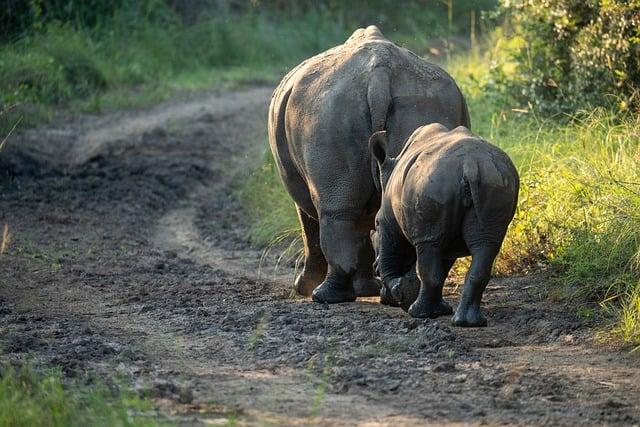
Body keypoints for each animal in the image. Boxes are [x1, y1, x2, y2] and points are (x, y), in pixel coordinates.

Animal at [268, 26, 470, 304]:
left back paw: (324, 296)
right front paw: (368, 289)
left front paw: (304, 288)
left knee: (336, 213)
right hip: (425, 101)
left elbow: (311, 227)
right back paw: (401, 295)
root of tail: (379, 75)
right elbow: (365, 228)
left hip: (325, 111)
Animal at [369, 124, 519, 326]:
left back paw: (418, 313)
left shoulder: (387, 221)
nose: (373, 267)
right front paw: (438, 309)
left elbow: (390, 254)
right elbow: (443, 267)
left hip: (434, 184)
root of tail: (470, 166)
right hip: (496, 182)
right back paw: (468, 322)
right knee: (486, 245)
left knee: (429, 246)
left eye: (375, 224)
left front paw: (401, 293)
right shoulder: (447, 240)